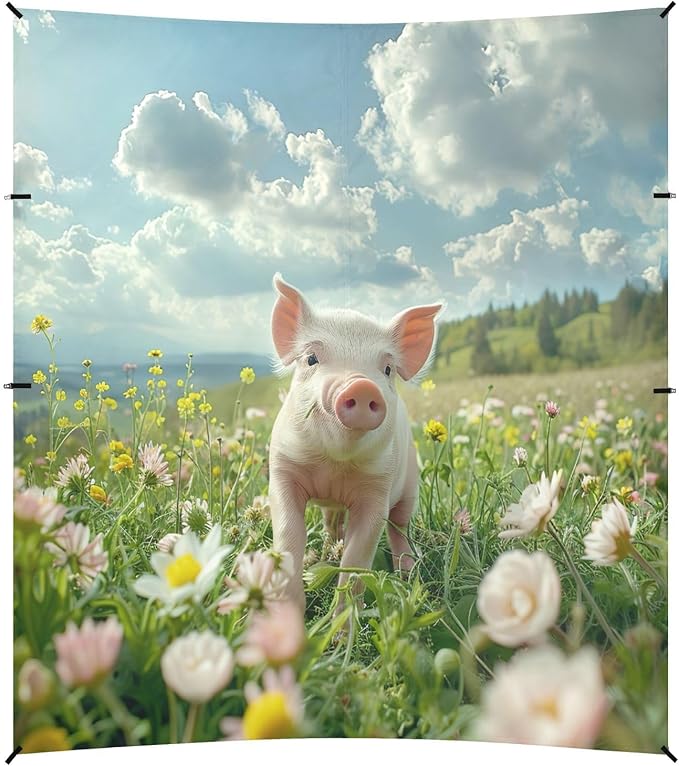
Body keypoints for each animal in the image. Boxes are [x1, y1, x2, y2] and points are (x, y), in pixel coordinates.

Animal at [268, 273, 444, 613]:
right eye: (311, 358)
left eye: (387, 369)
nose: (362, 386)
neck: (333, 467)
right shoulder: (282, 469)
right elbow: (288, 535)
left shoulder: (377, 490)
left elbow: (357, 557)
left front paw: (342, 623)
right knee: (331, 525)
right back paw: (322, 557)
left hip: (410, 487)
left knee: (400, 528)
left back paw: (408, 574)